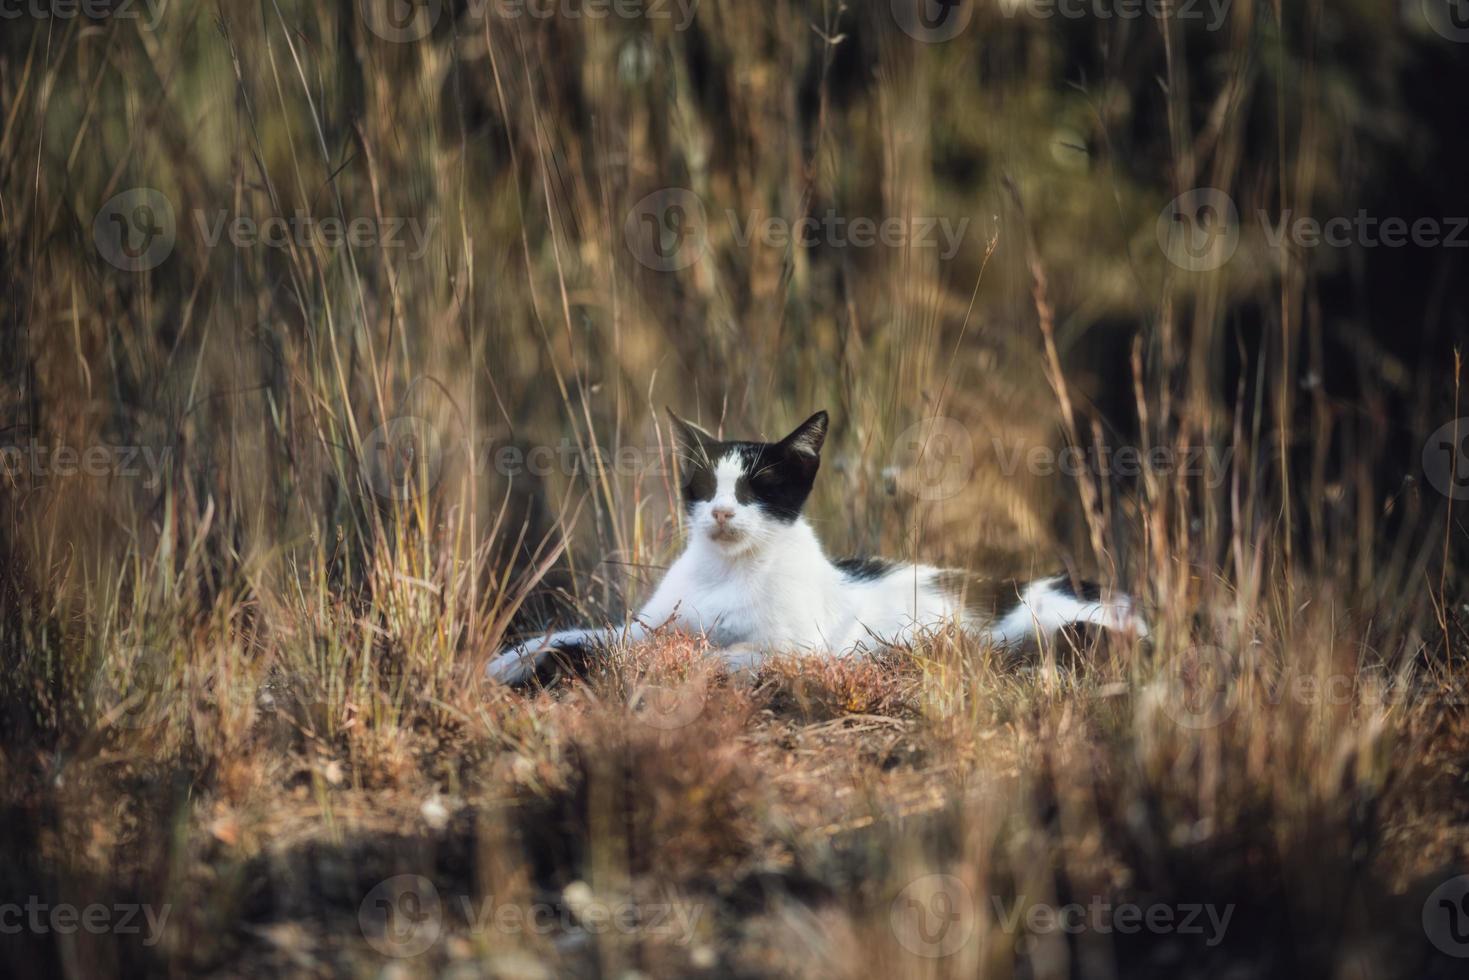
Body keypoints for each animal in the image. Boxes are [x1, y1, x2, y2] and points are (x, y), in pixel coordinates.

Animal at [484, 411, 1145, 687]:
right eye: (707, 487)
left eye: (756, 489)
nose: (721, 512)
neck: (727, 572)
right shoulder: (648, 626)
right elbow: (585, 633)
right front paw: (508, 659)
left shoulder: (798, 647)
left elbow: (724, 655)